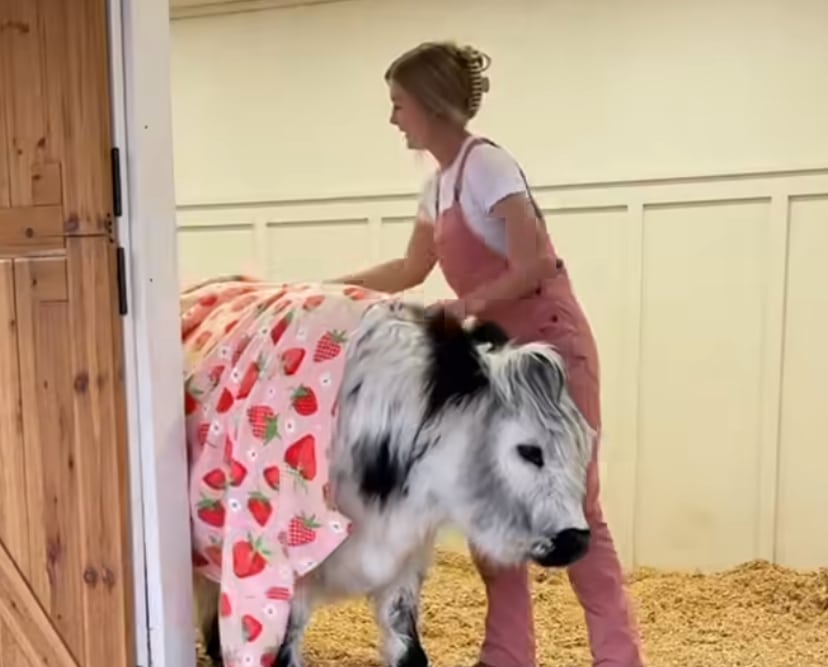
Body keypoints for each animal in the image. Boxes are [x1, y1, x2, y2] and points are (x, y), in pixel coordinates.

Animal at [185, 279, 595, 667]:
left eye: (585, 444)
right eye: (529, 451)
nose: (577, 539)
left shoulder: (404, 566)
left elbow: (409, 652)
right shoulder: (277, 570)